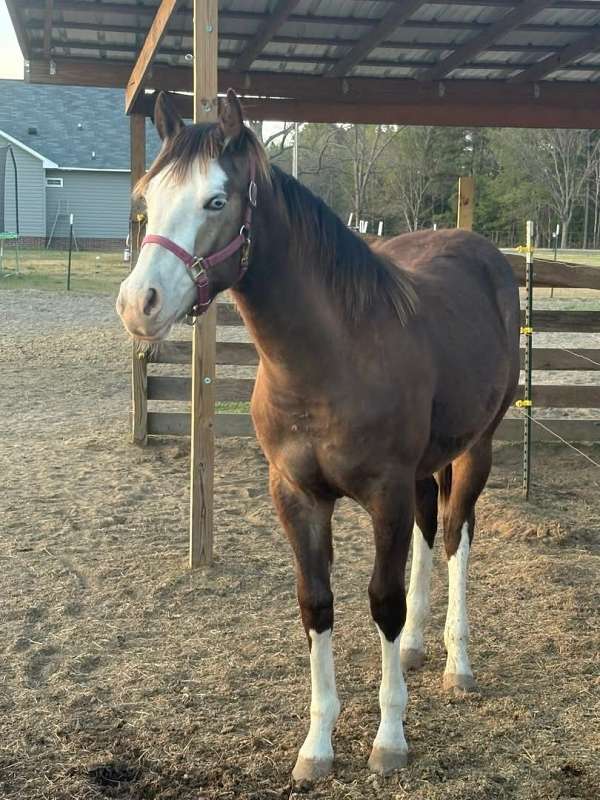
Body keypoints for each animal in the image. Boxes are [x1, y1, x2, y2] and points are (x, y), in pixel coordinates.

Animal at [117, 90, 520, 781]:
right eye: (147, 197)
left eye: (217, 201)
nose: (138, 303)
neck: (330, 358)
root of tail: (485, 254)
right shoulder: (296, 495)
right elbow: (317, 604)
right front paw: (318, 744)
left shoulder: (384, 493)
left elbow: (382, 600)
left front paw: (389, 738)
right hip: (423, 469)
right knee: (428, 530)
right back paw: (415, 646)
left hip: (476, 451)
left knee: (456, 535)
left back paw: (456, 662)